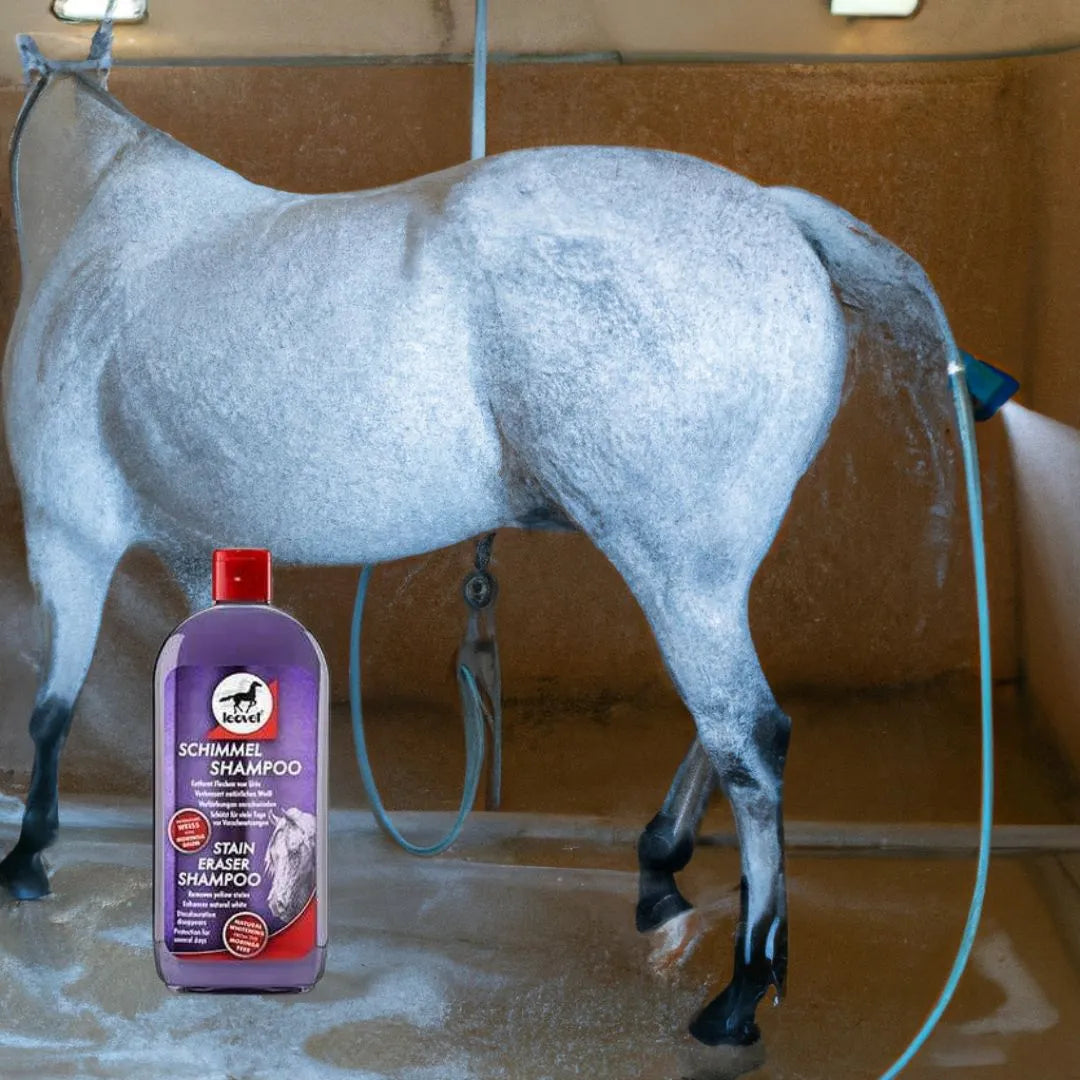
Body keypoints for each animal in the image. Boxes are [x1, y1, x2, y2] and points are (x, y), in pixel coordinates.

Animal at [0, 25, 963, 1045]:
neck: (103, 222)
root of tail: (779, 217)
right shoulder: (196, 552)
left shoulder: (67, 534)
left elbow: (52, 710)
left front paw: (27, 858)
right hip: (703, 575)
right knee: (724, 728)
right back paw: (661, 869)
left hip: (678, 570)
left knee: (750, 738)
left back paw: (739, 993)